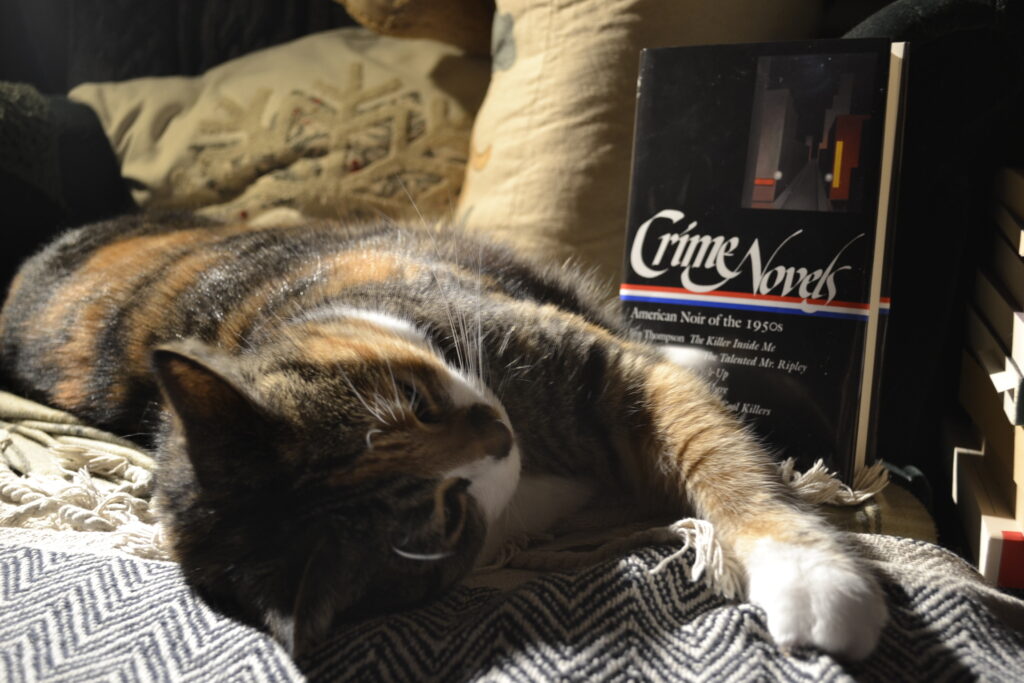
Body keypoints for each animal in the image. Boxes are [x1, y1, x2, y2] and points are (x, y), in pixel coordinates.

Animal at [0, 216, 888, 659]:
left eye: (413, 401)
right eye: (445, 514)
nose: (497, 434)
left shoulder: (583, 360)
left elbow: (714, 449)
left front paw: (807, 566)